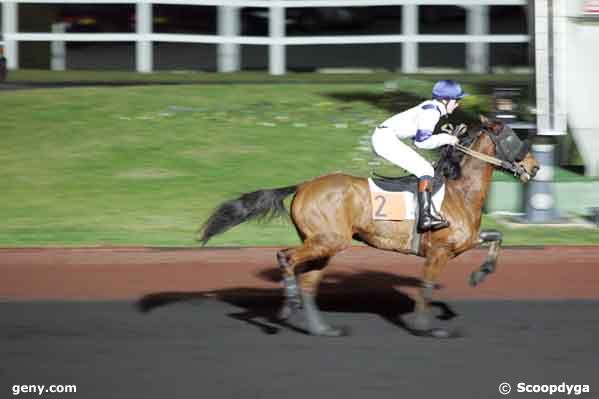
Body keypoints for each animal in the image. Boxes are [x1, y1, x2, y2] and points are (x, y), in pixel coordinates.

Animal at [199, 117, 540, 340]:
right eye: (514, 137)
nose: (535, 168)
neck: (460, 191)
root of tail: (304, 185)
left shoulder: (462, 243)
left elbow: (496, 237)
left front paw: (479, 275)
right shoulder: (439, 252)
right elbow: (426, 287)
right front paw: (427, 328)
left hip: (324, 245)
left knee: (309, 281)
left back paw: (322, 328)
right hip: (328, 241)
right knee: (286, 258)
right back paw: (288, 306)